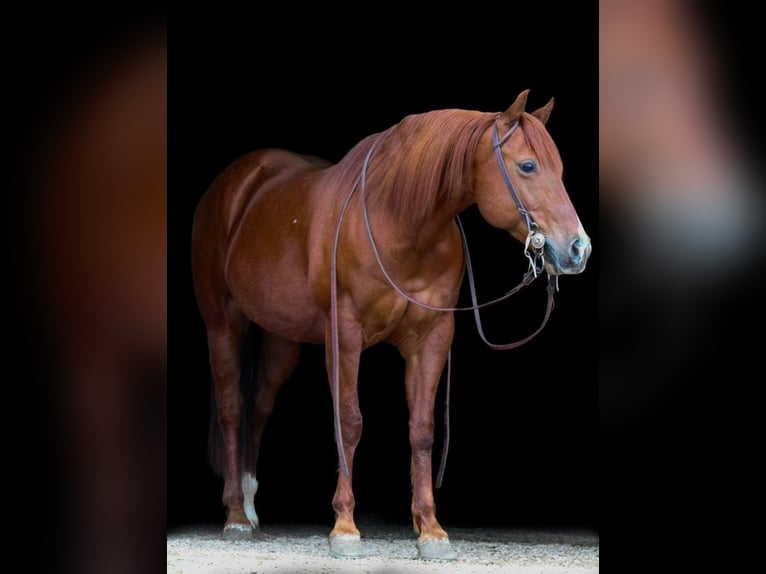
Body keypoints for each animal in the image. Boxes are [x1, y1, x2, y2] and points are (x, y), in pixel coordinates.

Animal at [192, 90, 592, 564]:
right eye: (528, 166)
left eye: (560, 169)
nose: (578, 249)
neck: (400, 221)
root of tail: (237, 184)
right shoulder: (344, 335)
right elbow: (349, 423)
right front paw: (345, 527)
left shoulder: (432, 339)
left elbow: (422, 430)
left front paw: (430, 529)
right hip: (224, 323)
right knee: (232, 409)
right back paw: (236, 516)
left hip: (279, 339)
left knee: (258, 407)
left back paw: (252, 510)